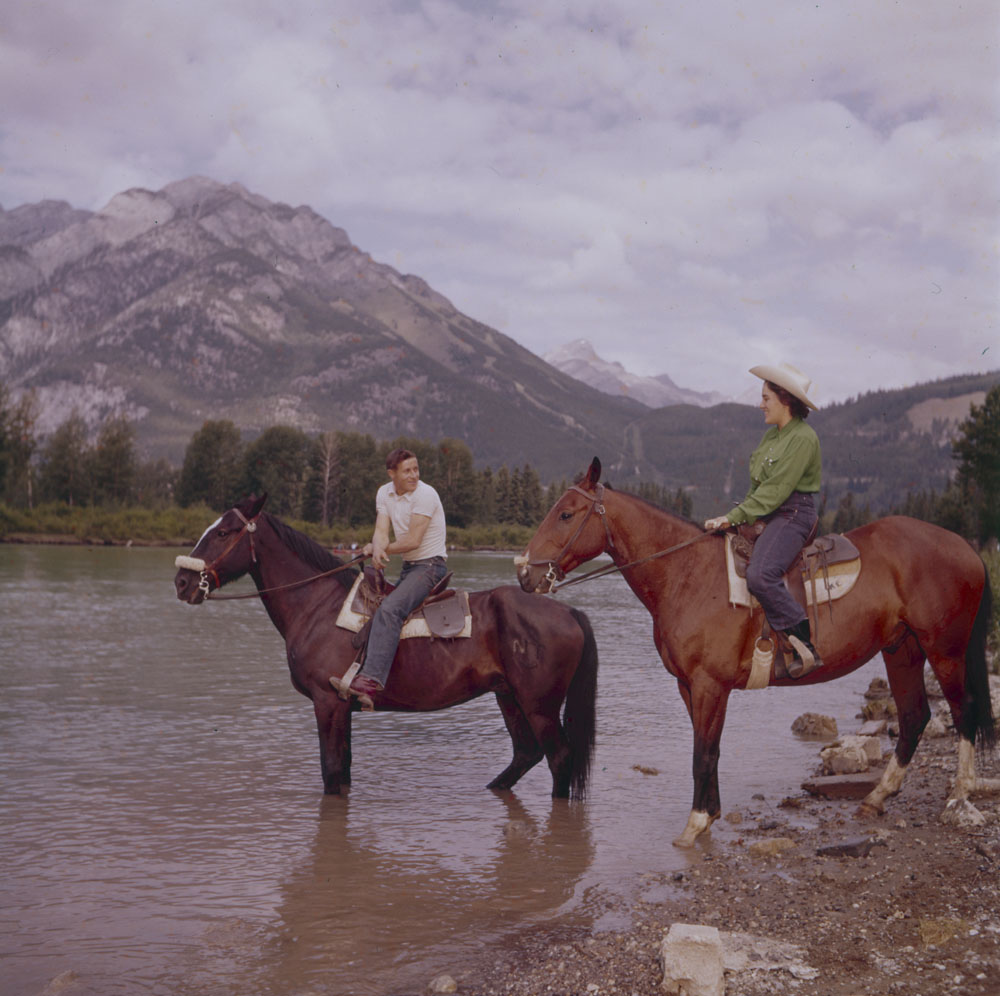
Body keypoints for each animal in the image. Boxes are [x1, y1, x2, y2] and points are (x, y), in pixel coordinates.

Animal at [173, 494, 596, 796]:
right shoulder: (341, 709)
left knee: (559, 758)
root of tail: (569, 611)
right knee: (526, 753)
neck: (317, 606)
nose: (181, 581)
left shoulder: (327, 704)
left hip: (539, 705)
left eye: (223, 533)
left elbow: (331, 773)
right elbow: (342, 773)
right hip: (508, 696)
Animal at [520, 462, 996, 848]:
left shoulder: (710, 685)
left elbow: (703, 754)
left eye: (566, 513)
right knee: (915, 717)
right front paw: (709, 816)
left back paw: (960, 793)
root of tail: (966, 547)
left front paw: (694, 824)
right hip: (902, 650)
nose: (524, 573)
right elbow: (708, 749)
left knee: (964, 712)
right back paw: (877, 798)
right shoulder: (689, 686)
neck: (688, 575)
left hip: (946, 651)